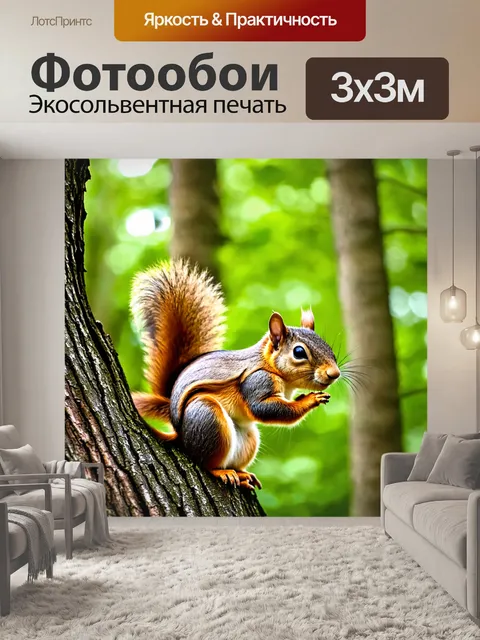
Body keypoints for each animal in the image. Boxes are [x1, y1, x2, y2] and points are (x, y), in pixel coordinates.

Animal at [131, 260, 341, 491]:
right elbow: (263, 409)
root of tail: (180, 435)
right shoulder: (257, 380)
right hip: (207, 417)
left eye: (329, 347)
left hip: (249, 438)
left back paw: (243, 475)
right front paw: (310, 399)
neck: (275, 371)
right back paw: (221, 472)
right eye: (299, 352)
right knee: (207, 462)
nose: (335, 373)